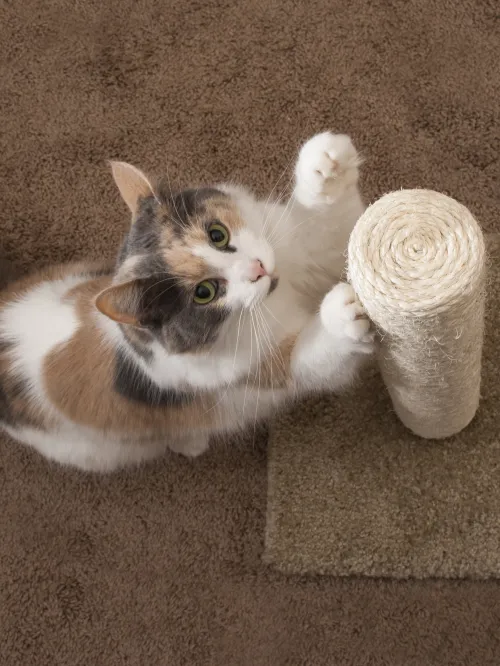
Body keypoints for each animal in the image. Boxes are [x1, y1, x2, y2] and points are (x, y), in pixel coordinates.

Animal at [0, 131, 376, 472]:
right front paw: (342, 314)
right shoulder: (275, 368)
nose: (258, 269)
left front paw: (323, 163)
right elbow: (317, 355)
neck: (279, 294)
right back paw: (191, 442)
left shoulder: (309, 255)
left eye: (217, 234)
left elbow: (324, 228)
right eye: (204, 292)